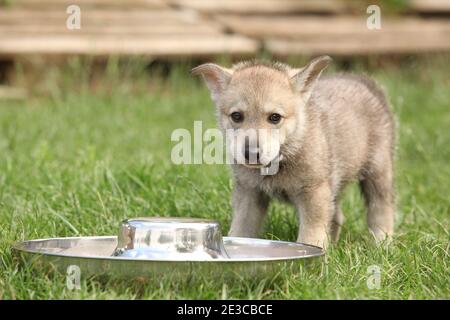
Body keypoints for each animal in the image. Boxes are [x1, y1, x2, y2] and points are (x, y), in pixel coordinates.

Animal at [192, 56, 396, 249]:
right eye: (236, 116)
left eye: (275, 118)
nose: (251, 153)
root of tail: (363, 81)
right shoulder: (249, 193)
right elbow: (241, 229)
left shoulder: (314, 193)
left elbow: (311, 234)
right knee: (337, 215)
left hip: (377, 172)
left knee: (381, 209)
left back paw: (381, 244)